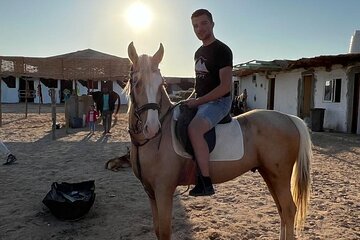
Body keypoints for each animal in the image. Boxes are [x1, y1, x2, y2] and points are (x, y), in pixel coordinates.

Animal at [125, 42, 310, 239]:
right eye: (136, 83)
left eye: (162, 84)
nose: (152, 128)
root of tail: (289, 118)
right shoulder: (151, 193)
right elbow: (158, 230)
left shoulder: (163, 191)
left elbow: (165, 232)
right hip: (269, 174)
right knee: (282, 210)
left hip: (279, 176)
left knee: (289, 209)